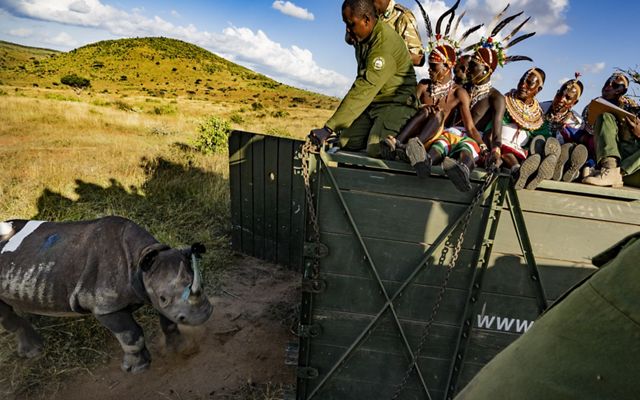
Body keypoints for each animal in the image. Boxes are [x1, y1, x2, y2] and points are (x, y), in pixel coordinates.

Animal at [0, 216, 213, 373]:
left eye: (201, 283)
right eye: (163, 298)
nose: (203, 314)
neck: (141, 258)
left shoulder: (153, 288)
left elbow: (169, 322)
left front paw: (179, 349)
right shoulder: (105, 306)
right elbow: (131, 335)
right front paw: (136, 369)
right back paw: (34, 353)